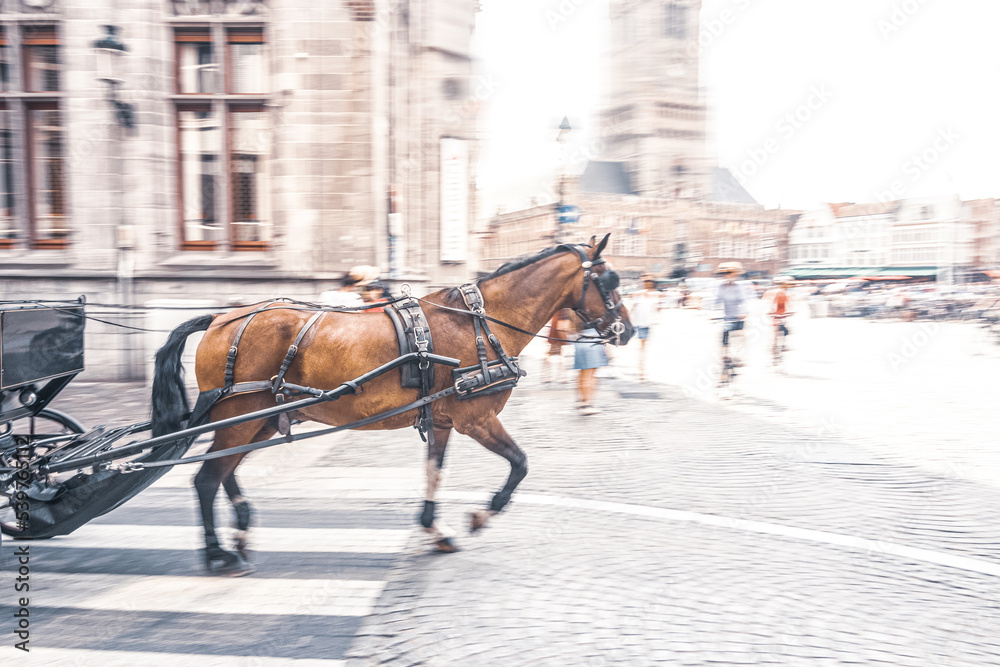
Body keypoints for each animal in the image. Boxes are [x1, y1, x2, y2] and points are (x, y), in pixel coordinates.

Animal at [150, 235, 632, 576]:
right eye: (609, 282)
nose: (626, 331)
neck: (480, 324)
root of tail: (219, 318)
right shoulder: (477, 418)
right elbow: (520, 464)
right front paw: (481, 514)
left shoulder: (444, 421)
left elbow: (434, 473)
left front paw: (435, 529)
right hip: (239, 417)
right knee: (207, 479)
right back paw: (219, 553)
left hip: (259, 420)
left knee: (225, 470)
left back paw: (241, 532)